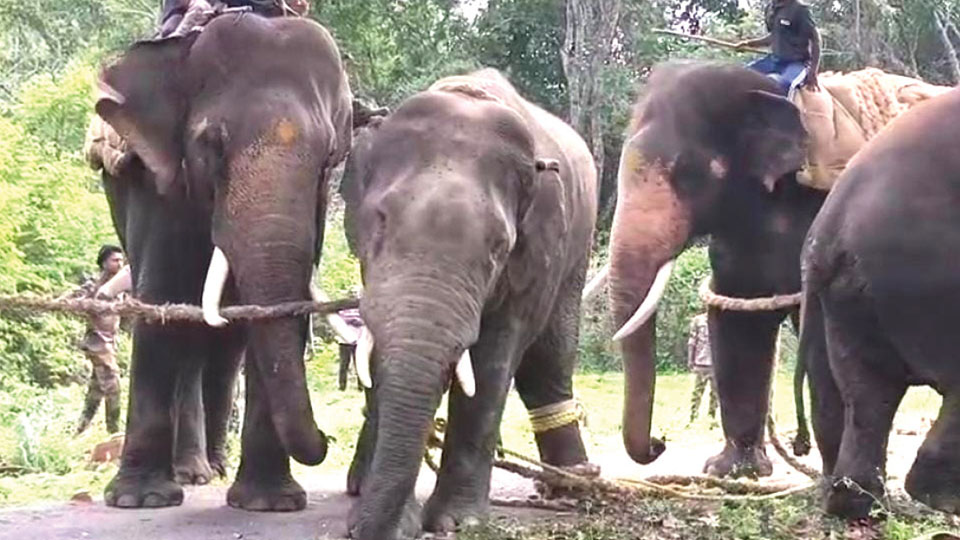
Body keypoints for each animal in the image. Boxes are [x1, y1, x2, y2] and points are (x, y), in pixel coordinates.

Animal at [84, 14, 352, 510]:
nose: (328, 439)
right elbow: (162, 299)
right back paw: (191, 474)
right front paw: (140, 500)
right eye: (212, 143)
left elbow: (274, 309)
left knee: (221, 346)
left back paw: (211, 468)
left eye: (329, 157)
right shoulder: (159, 182)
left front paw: (270, 504)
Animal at [338, 68, 598, 539]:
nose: (370, 531)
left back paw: (572, 485)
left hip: (577, 253)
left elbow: (493, 361)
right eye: (379, 221)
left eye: (498, 246)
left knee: (549, 362)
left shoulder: (538, 251)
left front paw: (456, 522)